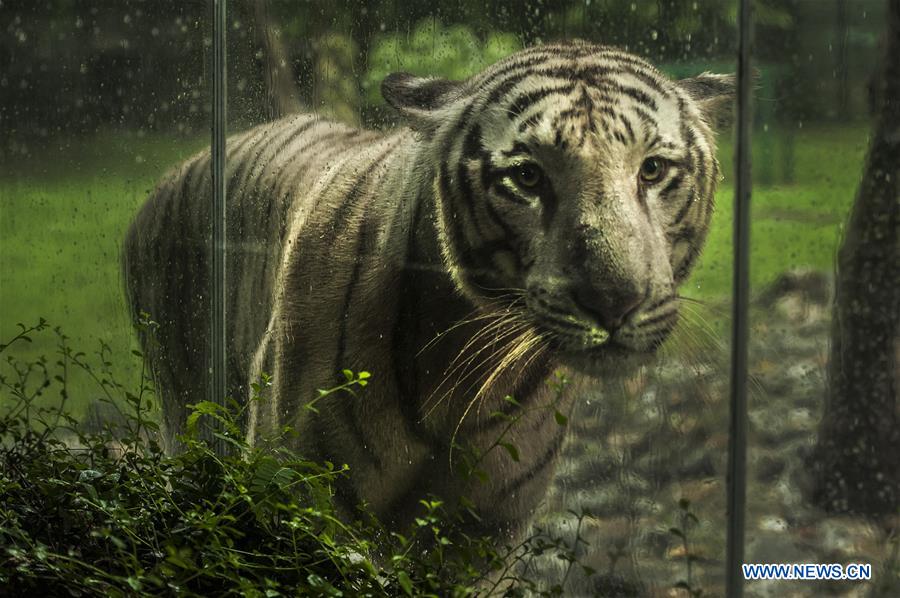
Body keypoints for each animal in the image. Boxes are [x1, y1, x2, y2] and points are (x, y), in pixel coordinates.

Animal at [123, 40, 732, 539]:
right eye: (528, 177)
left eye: (652, 170)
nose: (615, 302)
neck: (468, 377)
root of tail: (174, 172)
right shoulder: (304, 502)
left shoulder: (488, 532)